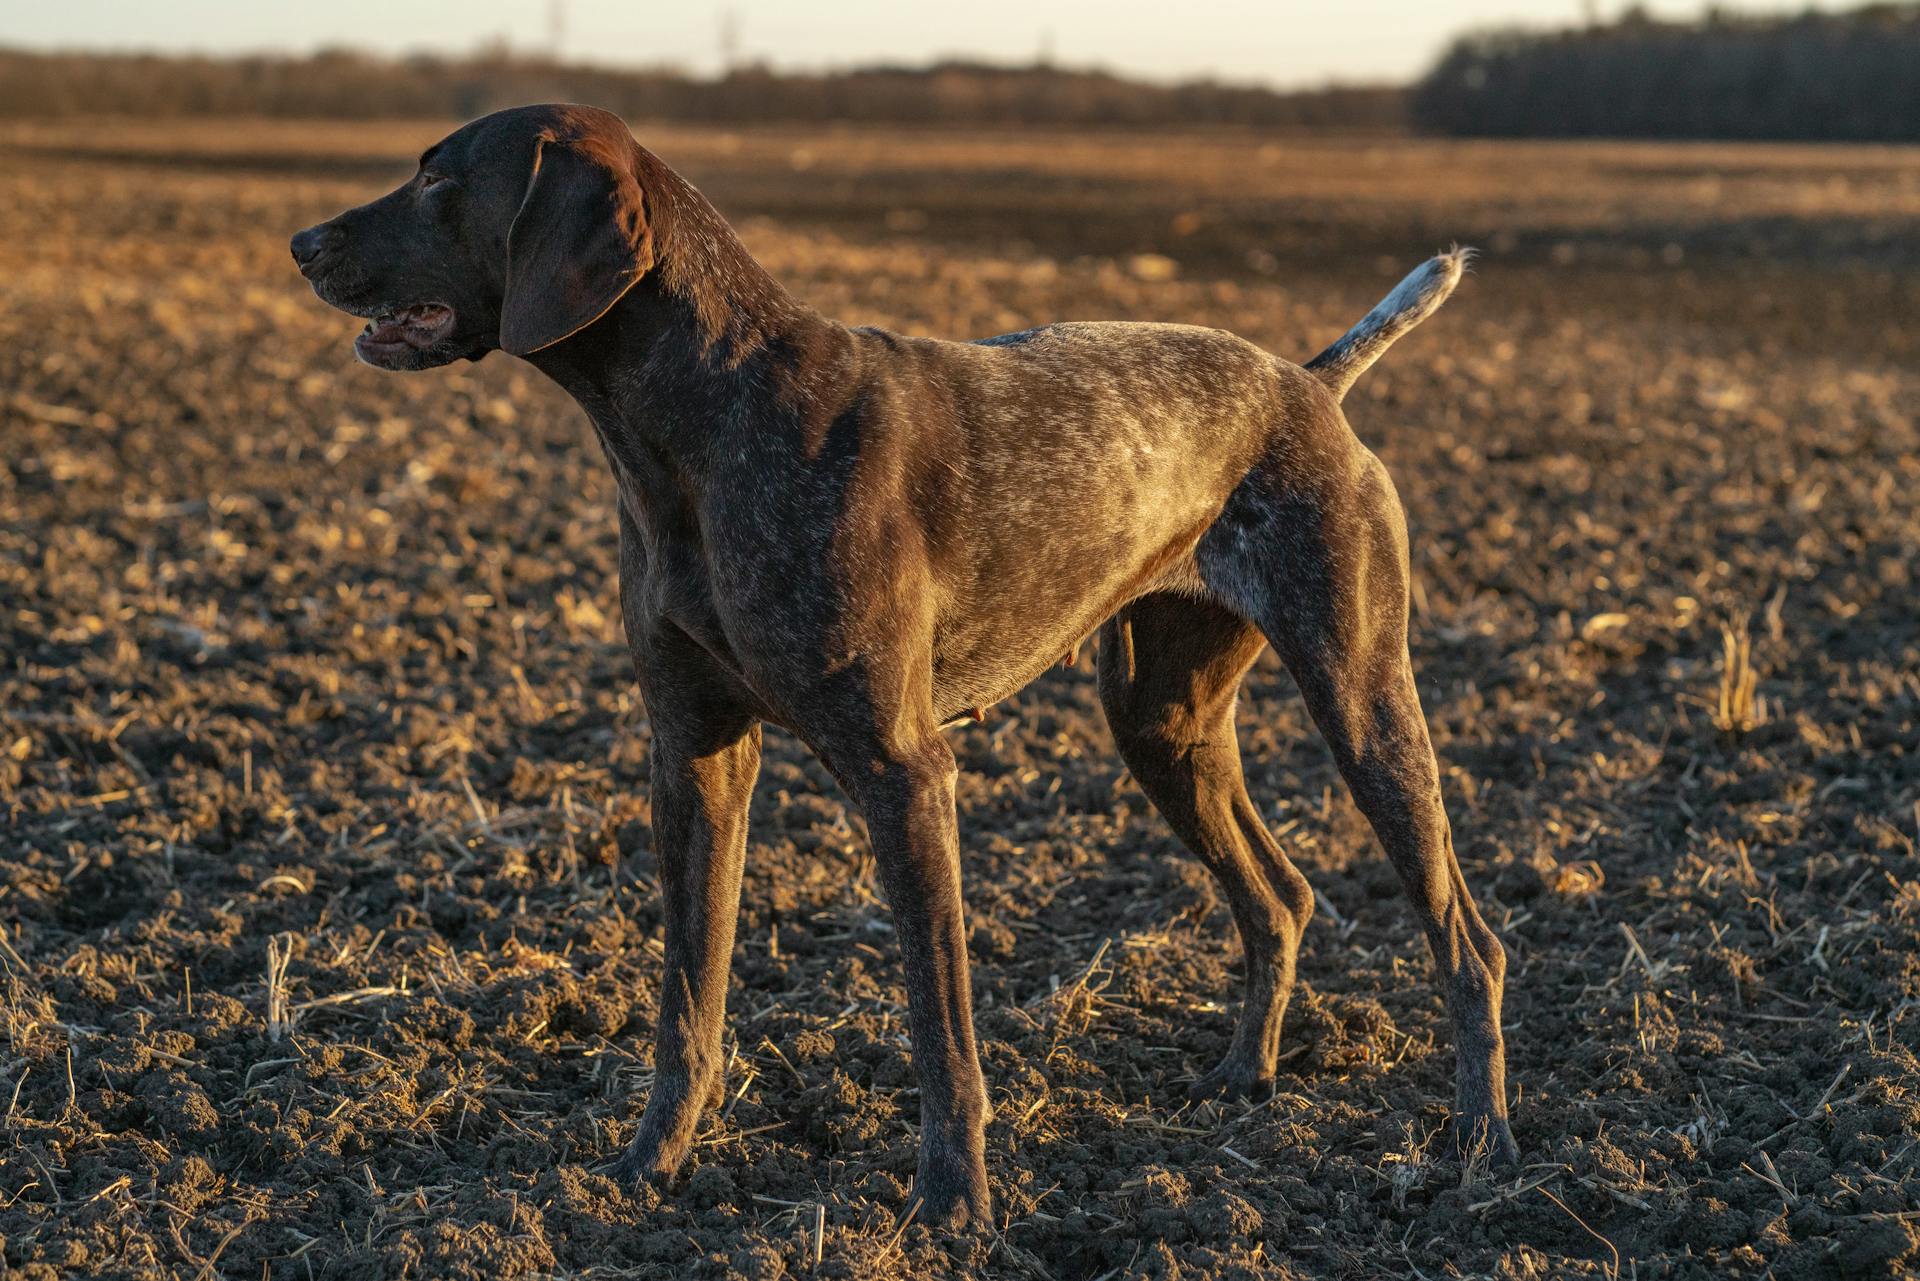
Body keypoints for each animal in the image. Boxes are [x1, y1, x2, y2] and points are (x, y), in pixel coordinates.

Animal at [291, 105, 1512, 1229]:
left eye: (439, 178)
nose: (300, 241)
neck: (700, 424)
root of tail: (1308, 383)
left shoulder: (902, 770)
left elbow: (940, 1024)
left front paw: (952, 1205)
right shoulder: (693, 756)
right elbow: (689, 1001)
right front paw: (647, 1168)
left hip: (1361, 699)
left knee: (1468, 939)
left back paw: (1480, 1147)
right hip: (1162, 723)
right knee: (1283, 896)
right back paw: (1246, 1076)